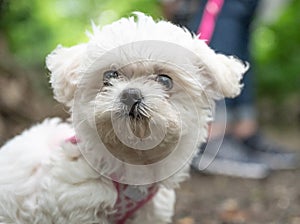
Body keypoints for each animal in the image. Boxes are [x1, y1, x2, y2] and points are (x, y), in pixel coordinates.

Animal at [0, 12, 246, 224]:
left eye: (165, 80)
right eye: (110, 75)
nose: (131, 95)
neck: (133, 161)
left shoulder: (150, 212)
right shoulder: (77, 205)